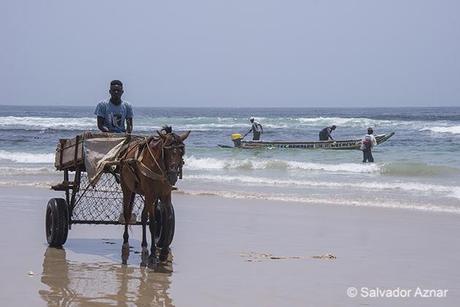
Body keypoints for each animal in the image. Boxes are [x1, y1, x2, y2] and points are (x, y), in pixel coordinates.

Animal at [120, 131, 190, 268]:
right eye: (166, 151)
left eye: (181, 152)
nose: (173, 176)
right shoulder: (150, 194)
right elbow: (151, 222)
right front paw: (152, 254)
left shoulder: (165, 195)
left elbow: (167, 219)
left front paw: (163, 252)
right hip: (127, 188)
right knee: (127, 214)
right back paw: (126, 244)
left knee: (145, 217)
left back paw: (146, 248)